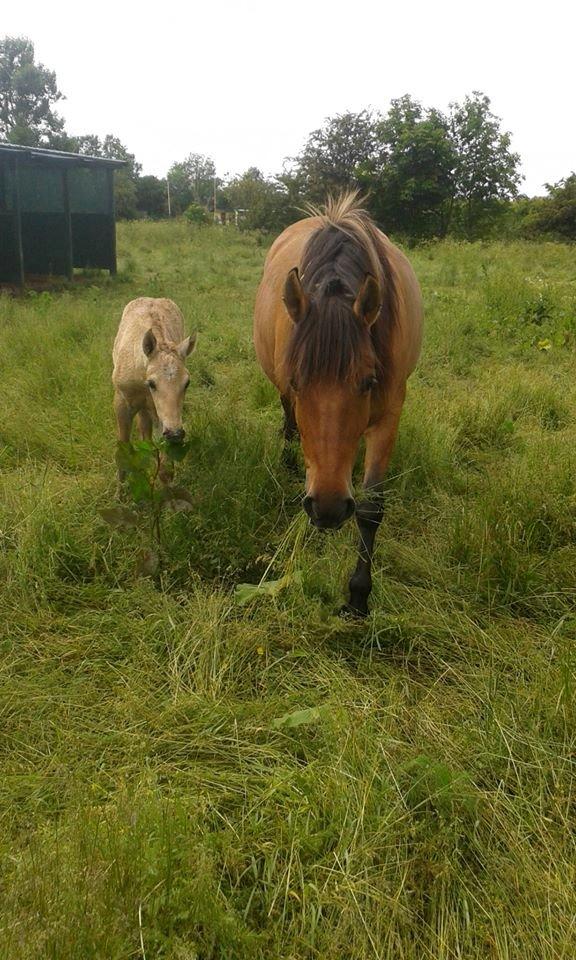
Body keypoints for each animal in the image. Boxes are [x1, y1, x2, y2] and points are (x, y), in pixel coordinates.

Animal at [112, 298, 198, 466]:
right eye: (152, 383)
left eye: (187, 383)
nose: (175, 434)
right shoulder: (121, 401)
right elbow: (123, 446)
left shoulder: (160, 413)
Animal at [253, 192, 424, 620]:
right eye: (298, 381)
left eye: (368, 382)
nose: (328, 508)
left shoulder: (389, 414)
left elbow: (371, 508)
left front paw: (359, 595)